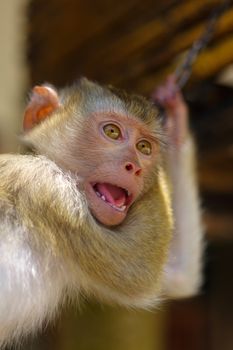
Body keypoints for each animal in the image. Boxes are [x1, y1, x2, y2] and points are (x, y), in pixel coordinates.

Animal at [0, 75, 203, 346]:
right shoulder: (47, 187)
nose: (136, 168)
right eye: (112, 132)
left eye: (144, 147)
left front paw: (175, 121)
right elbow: (139, 268)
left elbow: (177, 275)